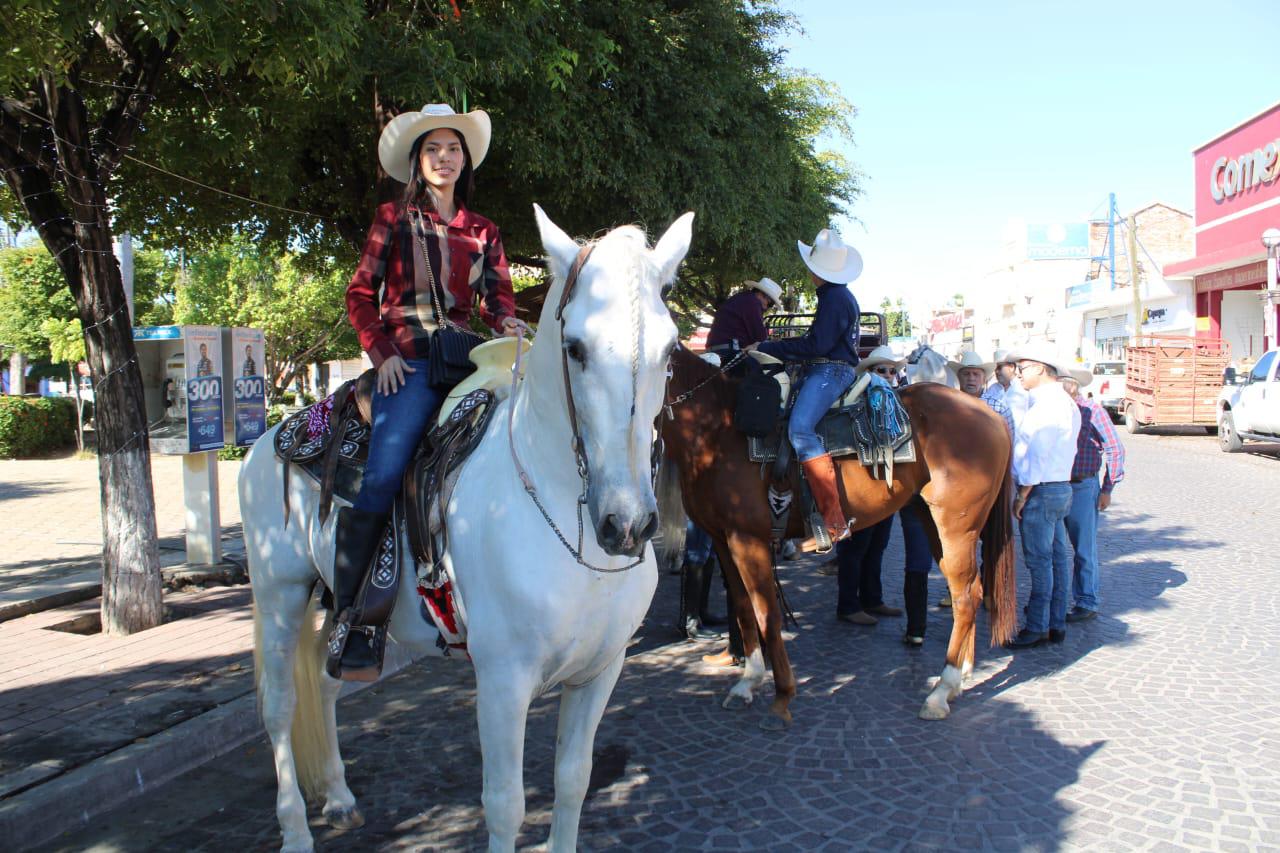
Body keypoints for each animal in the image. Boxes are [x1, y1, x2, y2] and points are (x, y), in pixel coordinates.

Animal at [243, 202, 696, 845]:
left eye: (671, 349)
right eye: (576, 348)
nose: (627, 524)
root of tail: (274, 435)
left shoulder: (600, 671)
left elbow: (573, 781)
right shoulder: (503, 684)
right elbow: (506, 805)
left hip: (335, 603)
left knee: (327, 683)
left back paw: (338, 796)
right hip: (279, 593)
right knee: (279, 708)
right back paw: (297, 832)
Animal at [660, 345, 1008, 722]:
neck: (716, 429)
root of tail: (989, 413)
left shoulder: (748, 538)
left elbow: (766, 611)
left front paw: (782, 695)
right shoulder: (723, 539)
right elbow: (742, 607)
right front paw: (747, 683)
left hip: (957, 526)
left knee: (965, 597)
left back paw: (941, 690)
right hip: (933, 523)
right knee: (972, 590)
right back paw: (963, 675)